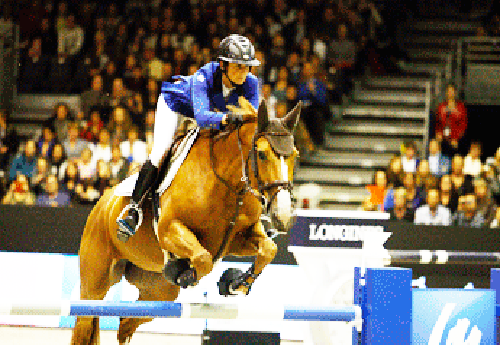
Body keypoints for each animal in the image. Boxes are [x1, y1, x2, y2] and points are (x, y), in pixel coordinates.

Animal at [70, 101, 300, 342]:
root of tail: (101, 204)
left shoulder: (236, 238)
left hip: (159, 290)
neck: (228, 183)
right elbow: (203, 258)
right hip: (94, 281)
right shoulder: (169, 229)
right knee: (86, 319)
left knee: (128, 321)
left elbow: (269, 249)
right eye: (262, 154)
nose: (283, 215)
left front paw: (235, 283)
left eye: (295, 154)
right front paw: (184, 272)